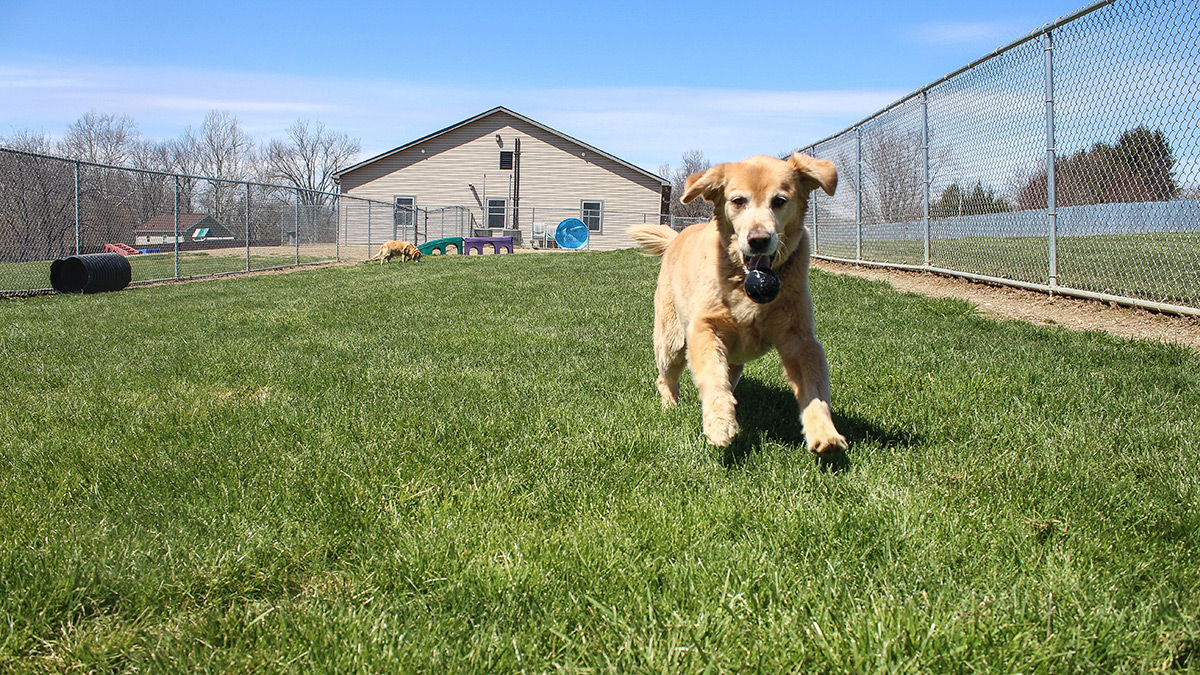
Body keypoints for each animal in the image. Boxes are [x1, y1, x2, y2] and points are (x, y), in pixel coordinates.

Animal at [628, 152, 844, 454]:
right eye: (738, 201)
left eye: (779, 201)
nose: (758, 239)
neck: (744, 282)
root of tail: (676, 238)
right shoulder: (704, 328)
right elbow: (712, 378)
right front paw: (720, 423)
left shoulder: (800, 339)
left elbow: (815, 388)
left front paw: (825, 433)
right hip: (671, 342)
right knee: (667, 377)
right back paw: (670, 405)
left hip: (733, 358)